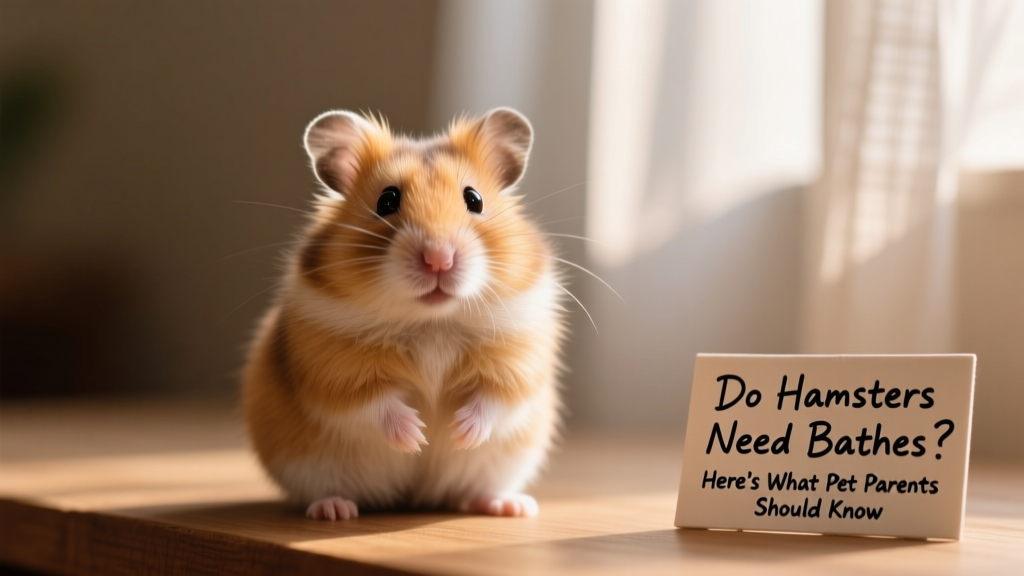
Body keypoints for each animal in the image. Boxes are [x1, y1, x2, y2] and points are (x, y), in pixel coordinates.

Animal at [242, 108, 566, 520]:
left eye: (474, 199)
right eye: (387, 200)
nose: (438, 259)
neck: (432, 322)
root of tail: (413, 499)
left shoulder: (518, 359)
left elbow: (495, 399)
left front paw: (459, 432)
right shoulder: (332, 370)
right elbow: (372, 404)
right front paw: (417, 436)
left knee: (473, 491)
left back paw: (511, 506)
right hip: (306, 463)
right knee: (323, 492)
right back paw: (335, 510)